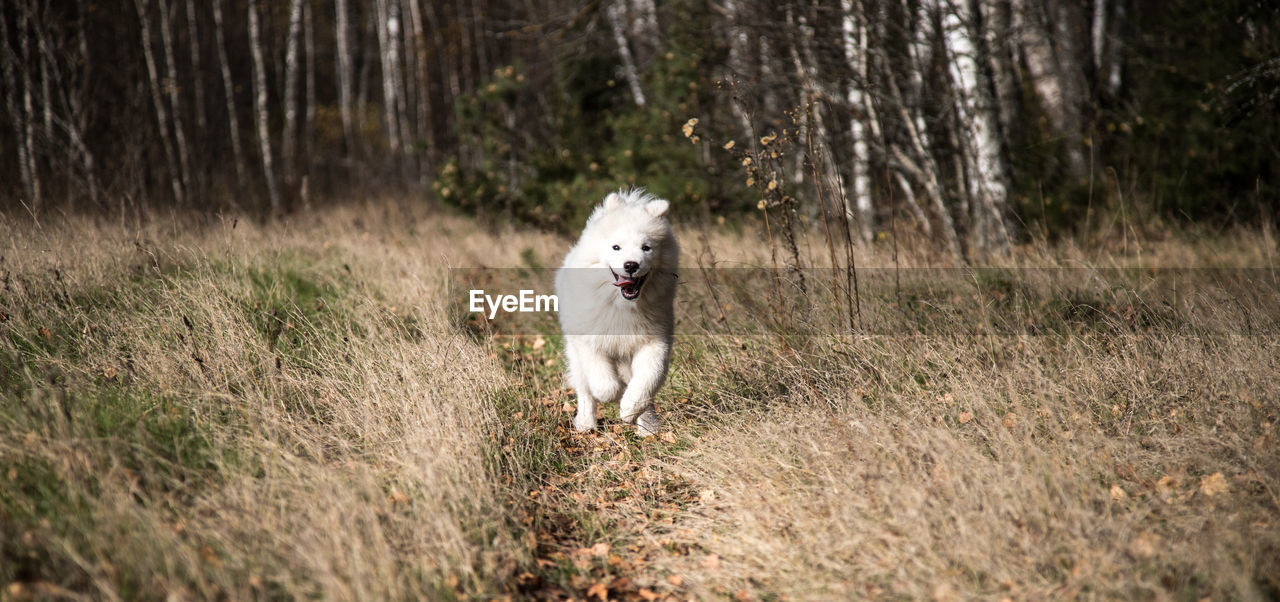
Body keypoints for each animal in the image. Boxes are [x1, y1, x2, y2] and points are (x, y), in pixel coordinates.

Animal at [558, 189, 680, 438]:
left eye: (646, 247)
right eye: (616, 247)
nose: (631, 265)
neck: (622, 306)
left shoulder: (654, 343)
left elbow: (646, 381)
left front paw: (629, 410)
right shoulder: (590, 343)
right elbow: (604, 385)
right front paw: (616, 395)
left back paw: (648, 427)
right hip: (574, 354)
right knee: (585, 391)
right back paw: (585, 424)